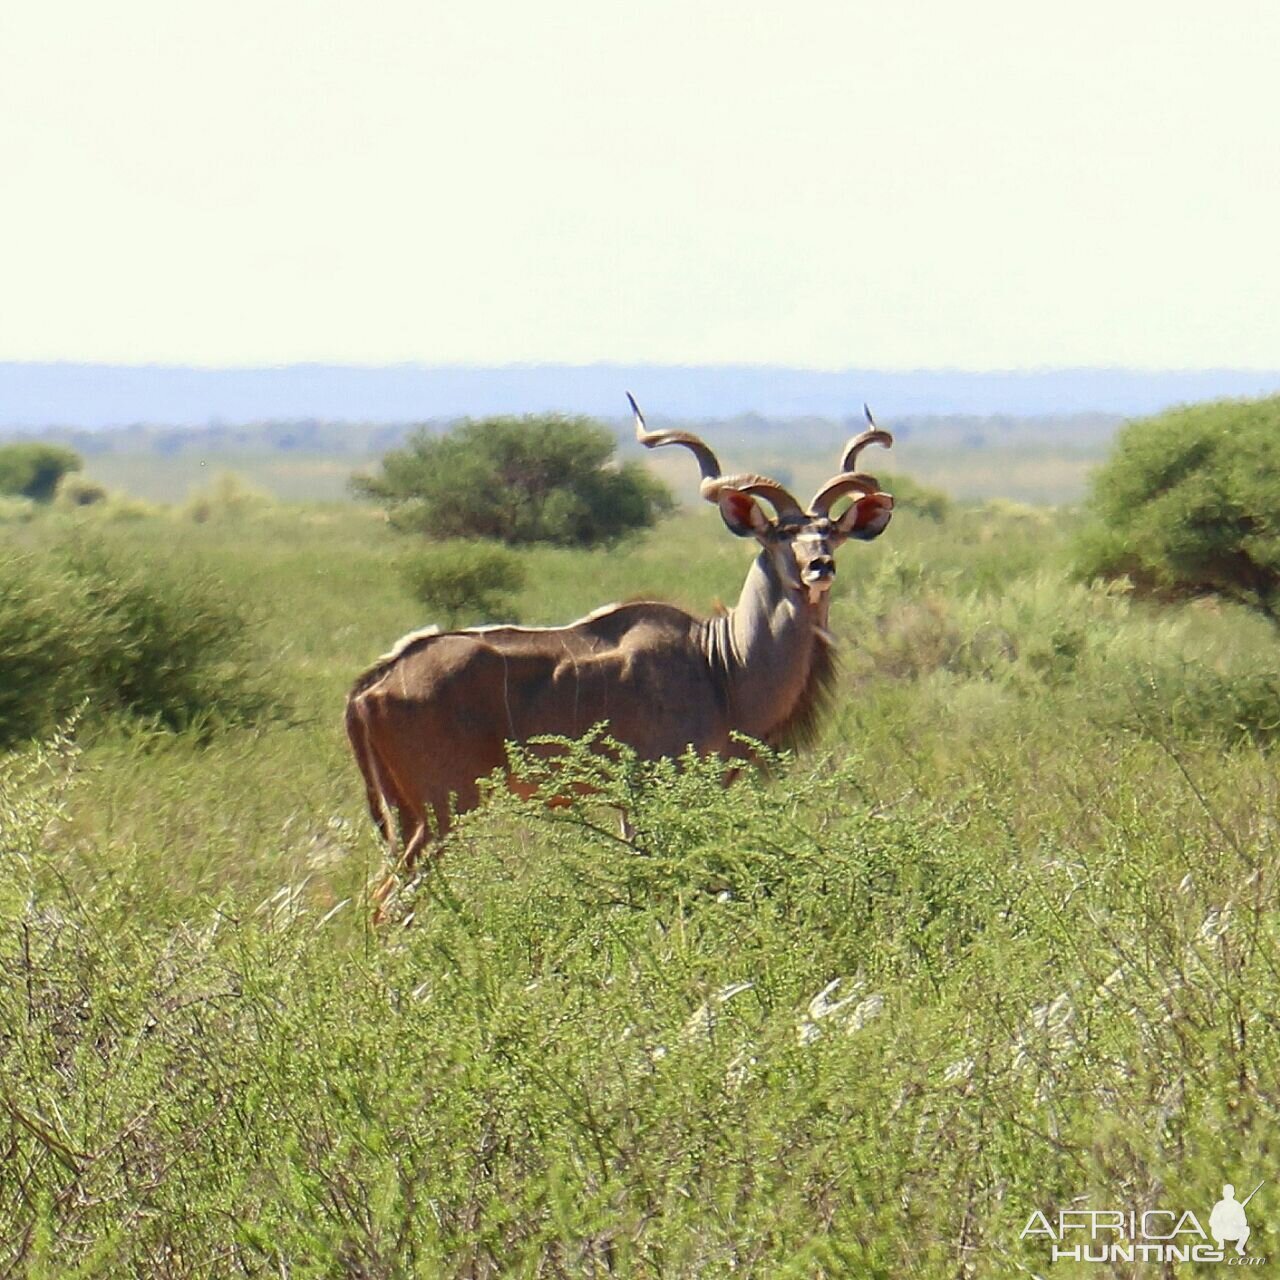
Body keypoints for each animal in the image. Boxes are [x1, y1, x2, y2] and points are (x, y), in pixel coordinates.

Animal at [345, 394, 896, 906]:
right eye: (782, 535)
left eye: (831, 533)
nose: (820, 566)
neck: (720, 665)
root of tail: (371, 684)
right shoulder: (652, 790)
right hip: (443, 812)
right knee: (386, 902)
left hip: (407, 815)